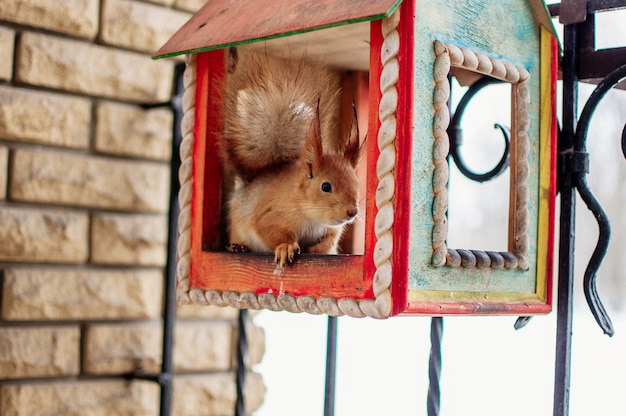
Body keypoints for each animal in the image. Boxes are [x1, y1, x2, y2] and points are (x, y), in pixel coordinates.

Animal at [221, 47, 360, 274]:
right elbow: (270, 231)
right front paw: (286, 247)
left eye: (357, 184)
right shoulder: (269, 214)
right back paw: (238, 246)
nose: (352, 212)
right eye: (326, 186)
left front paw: (318, 250)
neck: (312, 215)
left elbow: (328, 241)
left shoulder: (332, 230)